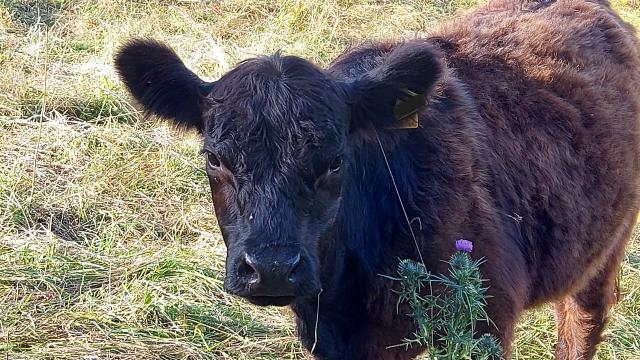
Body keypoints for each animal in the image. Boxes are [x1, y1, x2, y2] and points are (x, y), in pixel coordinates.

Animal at [115, 0, 640, 358]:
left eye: (336, 162)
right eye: (214, 159)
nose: (271, 268)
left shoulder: (484, 320)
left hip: (604, 249)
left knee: (581, 322)